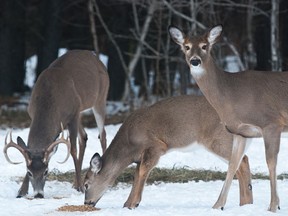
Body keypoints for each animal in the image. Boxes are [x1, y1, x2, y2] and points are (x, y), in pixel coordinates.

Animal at [2, 49, 109, 198]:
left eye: (46, 172)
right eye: (29, 172)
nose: (39, 194)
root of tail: (97, 59)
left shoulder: (73, 113)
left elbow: (73, 149)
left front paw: (80, 187)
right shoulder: (36, 115)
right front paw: (21, 191)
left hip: (99, 99)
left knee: (102, 135)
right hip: (80, 112)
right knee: (84, 137)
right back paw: (75, 183)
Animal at [82, 95, 252, 209]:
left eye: (86, 185)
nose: (87, 203)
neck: (129, 147)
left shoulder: (156, 146)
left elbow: (142, 172)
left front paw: (132, 204)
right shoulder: (141, 157)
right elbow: (136, 175)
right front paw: (127, 203)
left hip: (217, 140)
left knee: (241, 161)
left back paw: (238, 203)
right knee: (240, 163)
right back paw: (245, 203)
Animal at [169, 24, 288, 212]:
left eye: (204, 46)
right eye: (186, 47)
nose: (195, 61)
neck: (231, 95)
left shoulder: (271, 123)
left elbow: (271, 162)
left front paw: (273, 206)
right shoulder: (240, 132)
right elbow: (233, 164)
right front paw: (217, 205)